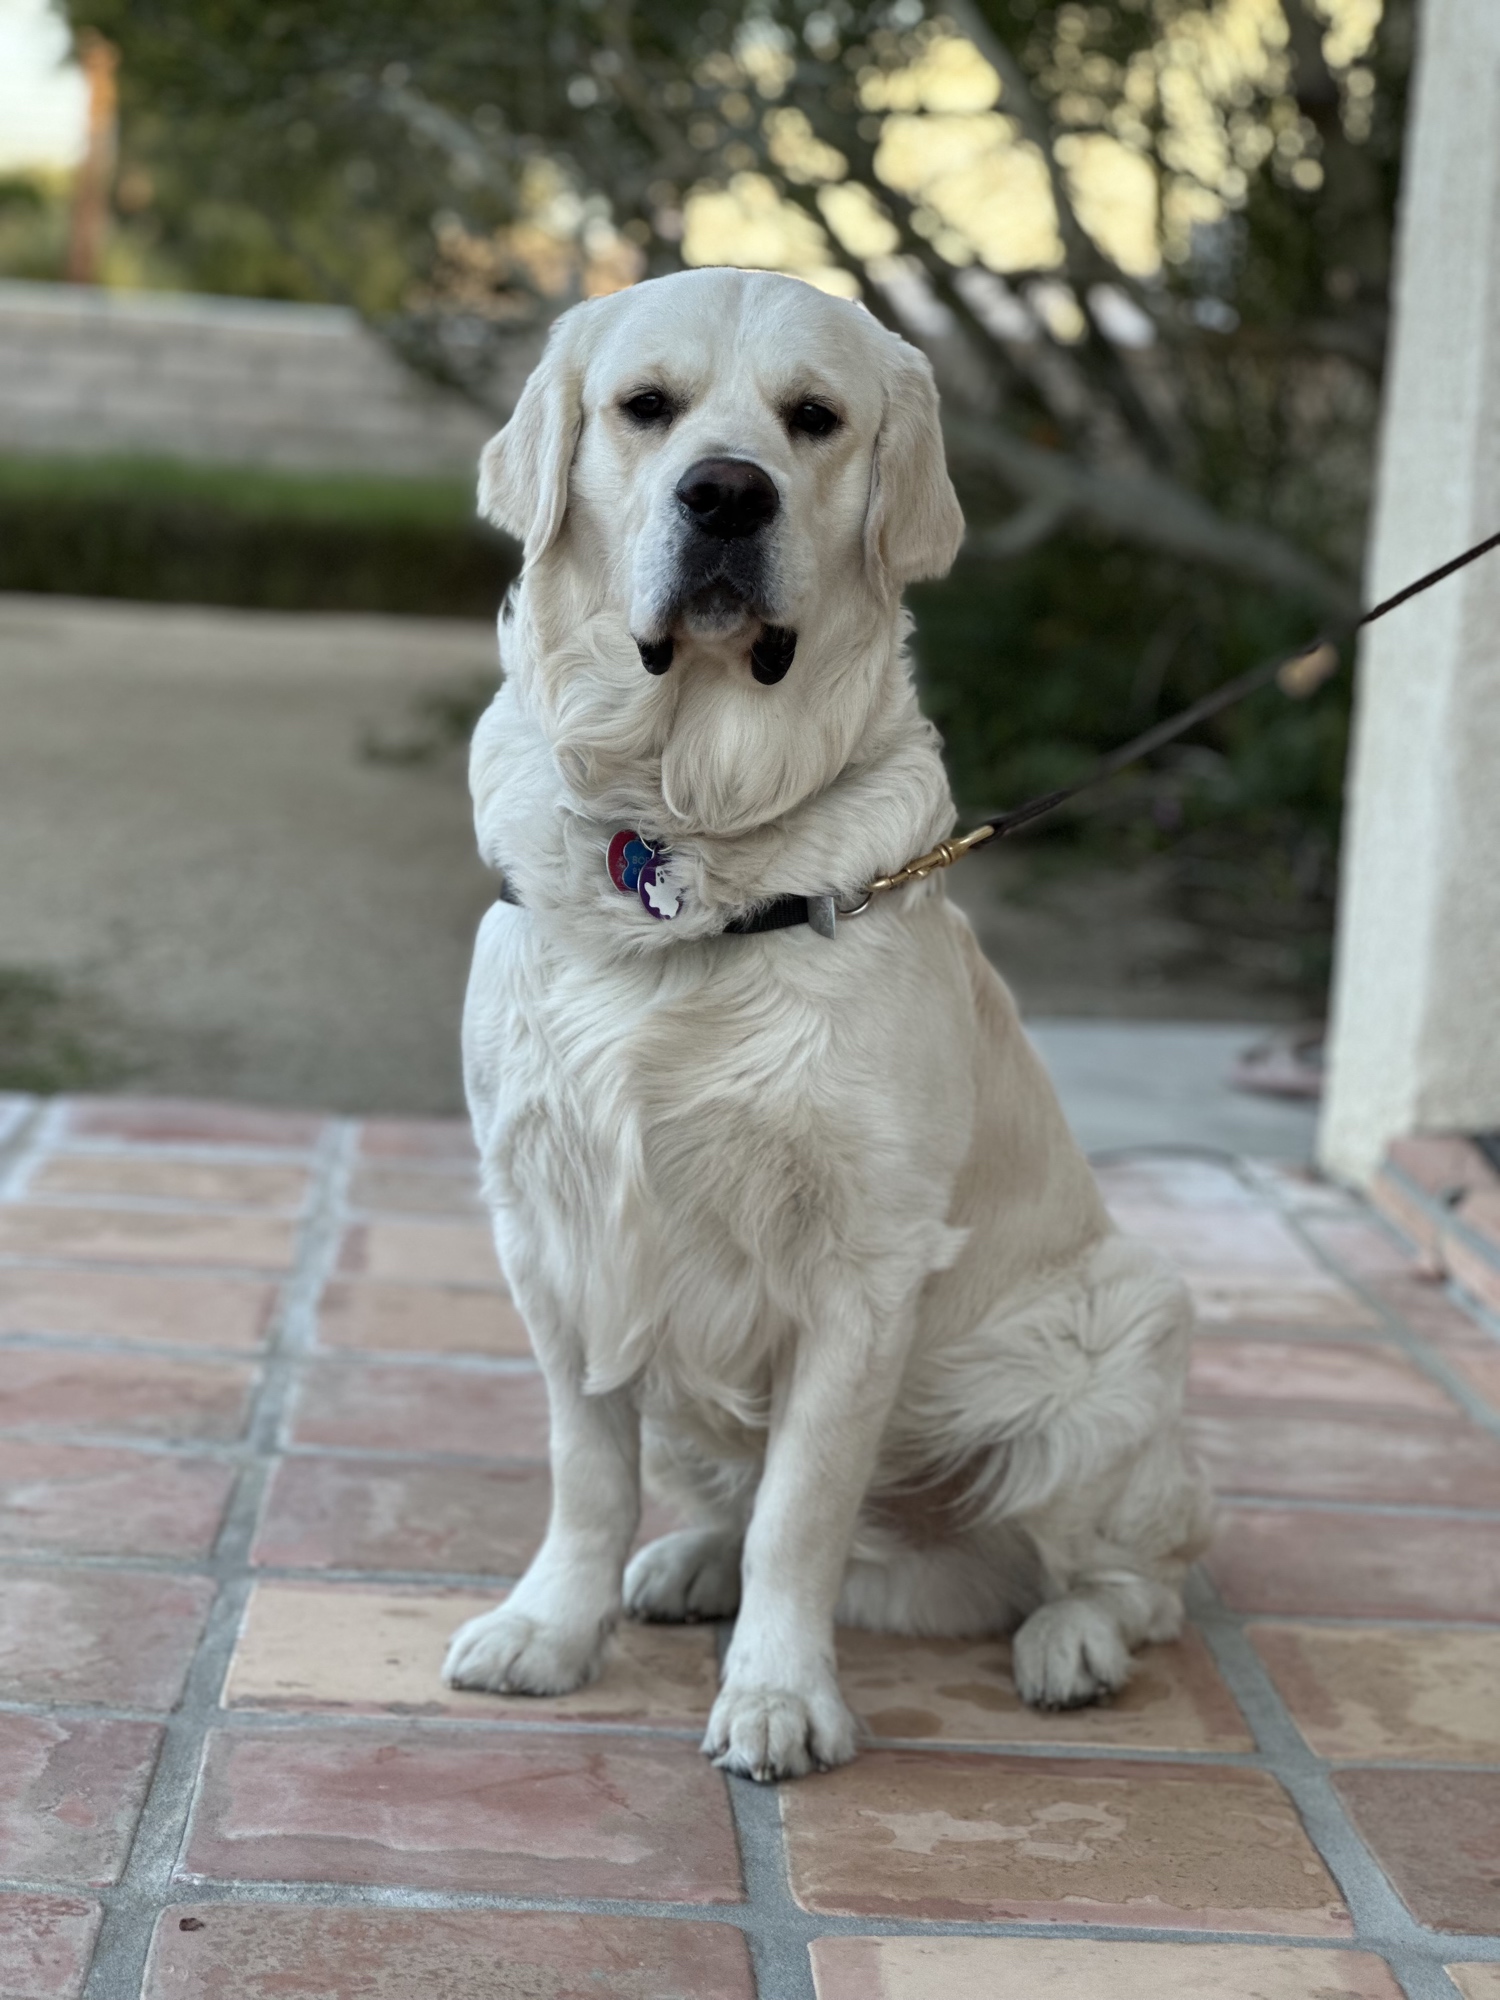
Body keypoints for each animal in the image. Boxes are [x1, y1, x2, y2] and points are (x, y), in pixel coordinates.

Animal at [442, 266, 1212, 1782]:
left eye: (815, 419)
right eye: (646, 407)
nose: (727, 494)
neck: (684, 835)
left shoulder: (864, 1262)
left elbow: (803, 1511)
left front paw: (781, 1694)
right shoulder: (550, 1227)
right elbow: (586, 1468)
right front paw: (552, 1628)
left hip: (1114, 1336)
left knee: (1127, 1580)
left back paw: (1071, 1646)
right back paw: (689, 1561)